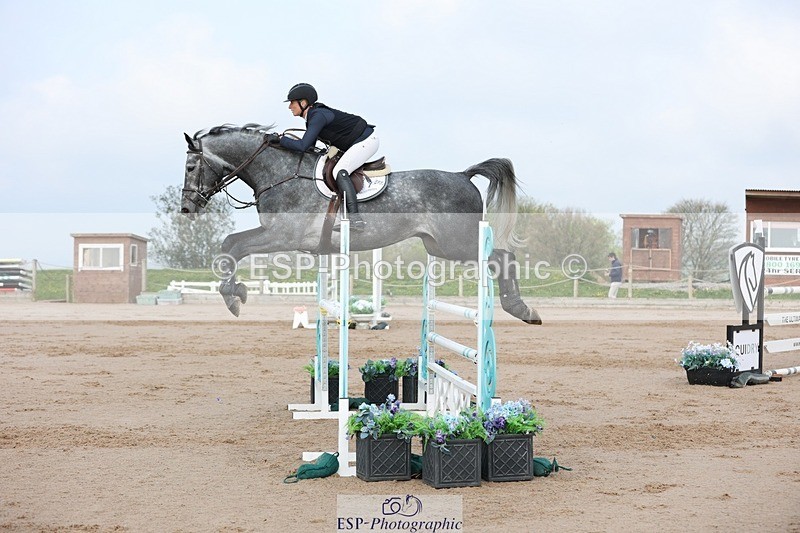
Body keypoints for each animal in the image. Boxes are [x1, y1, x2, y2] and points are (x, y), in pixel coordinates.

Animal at [181, 124, 541, 325]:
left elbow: (235, 246)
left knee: (503, 258)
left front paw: (233, 296)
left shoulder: (282, 235)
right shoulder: (278, 235)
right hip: (442, 246)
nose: (186, 208)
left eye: (189, 167)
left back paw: (522, 309)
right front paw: (235, 293)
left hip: (458, 244)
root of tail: (463, 176)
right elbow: (230, 244)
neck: (279, 173)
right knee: (500, 258)